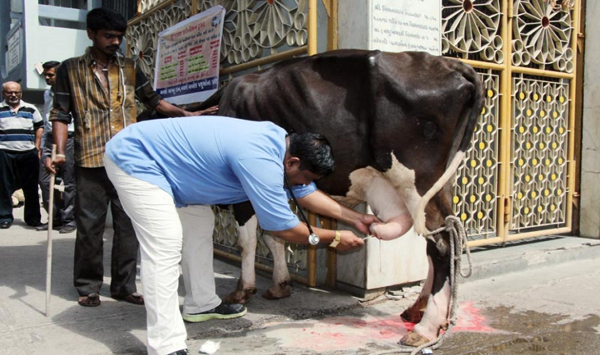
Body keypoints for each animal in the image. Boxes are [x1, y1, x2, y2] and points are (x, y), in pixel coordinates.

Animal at [199, 49, 486, 348]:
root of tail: (450, 63)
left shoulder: (245, 189)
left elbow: (247, 242)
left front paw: (242, 291)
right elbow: (274, 236)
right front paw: (280, 285)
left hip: (417, 180)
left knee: (441, 245)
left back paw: (425, 328)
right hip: (441, 183)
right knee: (444, 237)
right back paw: (417, 310)